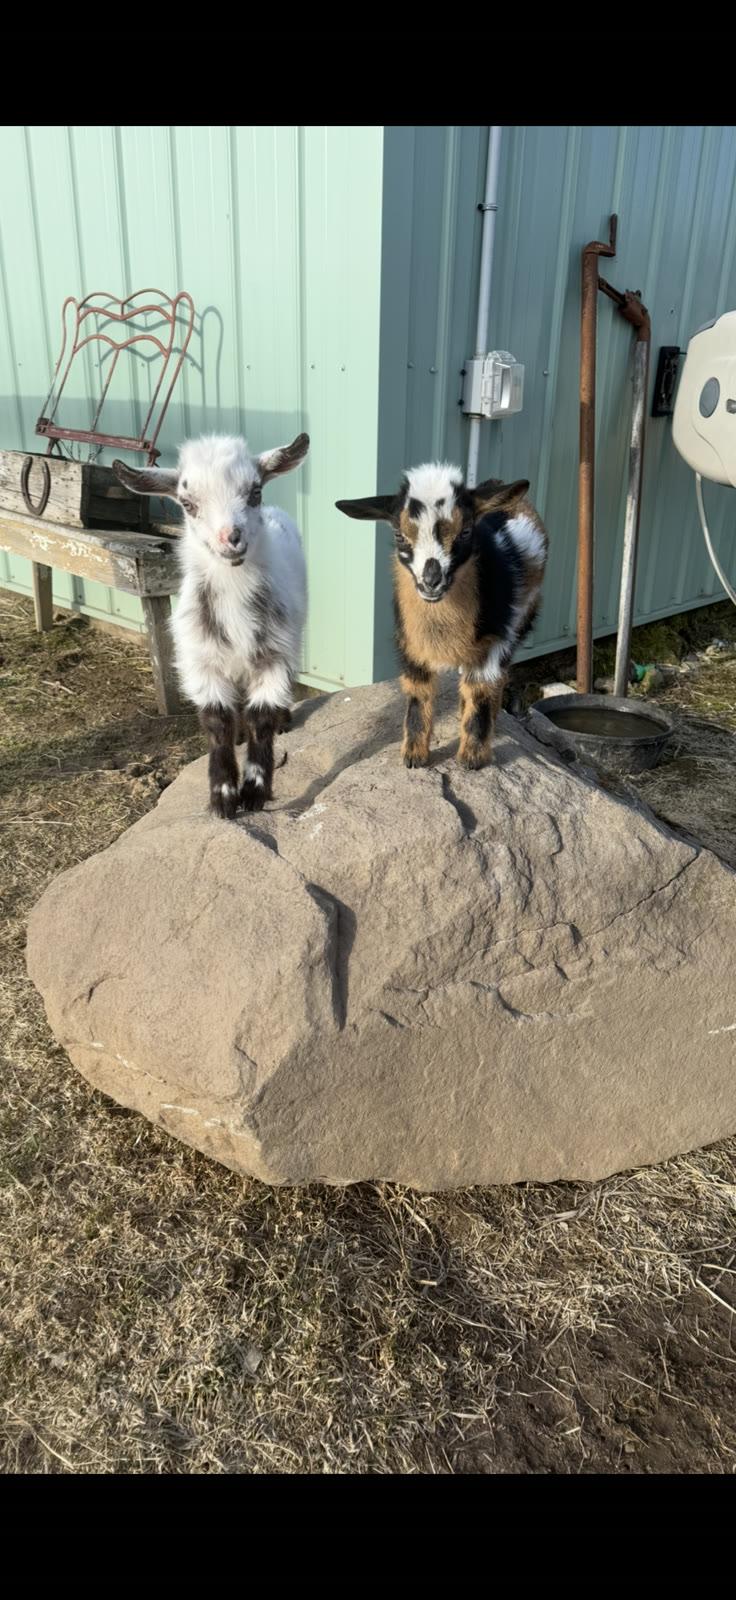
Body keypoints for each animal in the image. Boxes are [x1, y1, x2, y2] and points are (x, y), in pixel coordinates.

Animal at [114, 432, 309, 818]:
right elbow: (217, 722)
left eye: (255, 492)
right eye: (187, 503)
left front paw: (254, 792)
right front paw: (223, 798)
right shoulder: (201, 661)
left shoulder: (274, 655)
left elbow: (261, 718)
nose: (231, 538)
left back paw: (283, 721)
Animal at [336, 463, 547, 770]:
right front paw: (414, 756)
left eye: (466, 531)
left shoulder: (496, 640)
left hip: (522, 620)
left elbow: (481, 689)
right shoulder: (409, 644)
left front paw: (472, 758)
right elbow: (418, 692)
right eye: (399, 535)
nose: (431, 581)